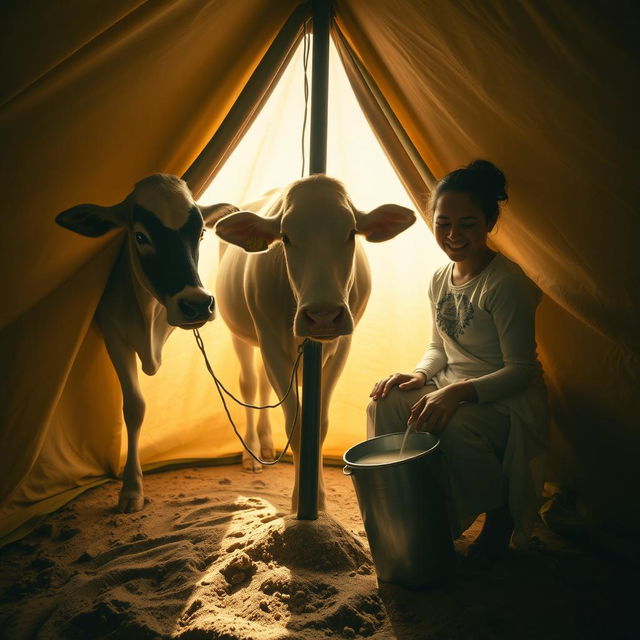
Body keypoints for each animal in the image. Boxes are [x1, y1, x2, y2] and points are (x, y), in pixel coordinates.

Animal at [56, 172, 236, 512]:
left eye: (201, 233)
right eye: (140, 236)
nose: (197, 304)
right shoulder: (113, 334)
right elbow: (135, 407)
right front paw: (131, 489)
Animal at [215, 175, 416, 510]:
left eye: (351, 233)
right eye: (285, 237)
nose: (323, 315)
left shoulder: (341, 345)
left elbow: (319, 425)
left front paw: (318, 499)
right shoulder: (270, 341)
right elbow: (295, 428)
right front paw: (301, 501)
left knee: (262, 385)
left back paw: (266, 445)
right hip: (240, 333)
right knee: (250, 384)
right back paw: (252, 453)